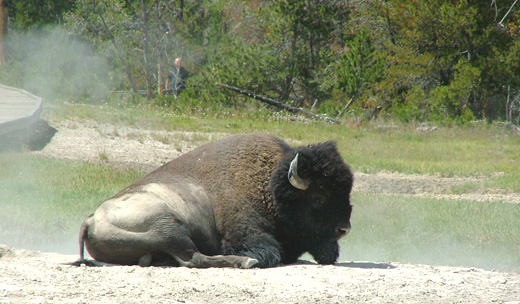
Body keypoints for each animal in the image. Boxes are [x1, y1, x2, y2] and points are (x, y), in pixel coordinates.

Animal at [76, 134, 354, 268]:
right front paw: (255, 258)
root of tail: (90, 220)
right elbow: (269, 251)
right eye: (317, 196)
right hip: (168, 228)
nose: (344, 229)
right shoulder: (244, 233)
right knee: (194, 259)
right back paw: (246, 263)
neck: (270, 187)